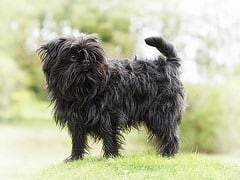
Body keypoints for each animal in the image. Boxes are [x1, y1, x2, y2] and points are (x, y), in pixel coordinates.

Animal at [37, 33, 186, 161]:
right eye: (72, 57)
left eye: (93, 56)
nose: (86, 61)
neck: (83, 90)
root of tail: (168, 64)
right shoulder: (76, 119)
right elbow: (77, 139)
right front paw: (75, 158)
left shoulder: (108, 115)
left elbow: (108, 136)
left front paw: (110, 156)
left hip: (161, 113)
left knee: (170, 134)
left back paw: (168, 154)